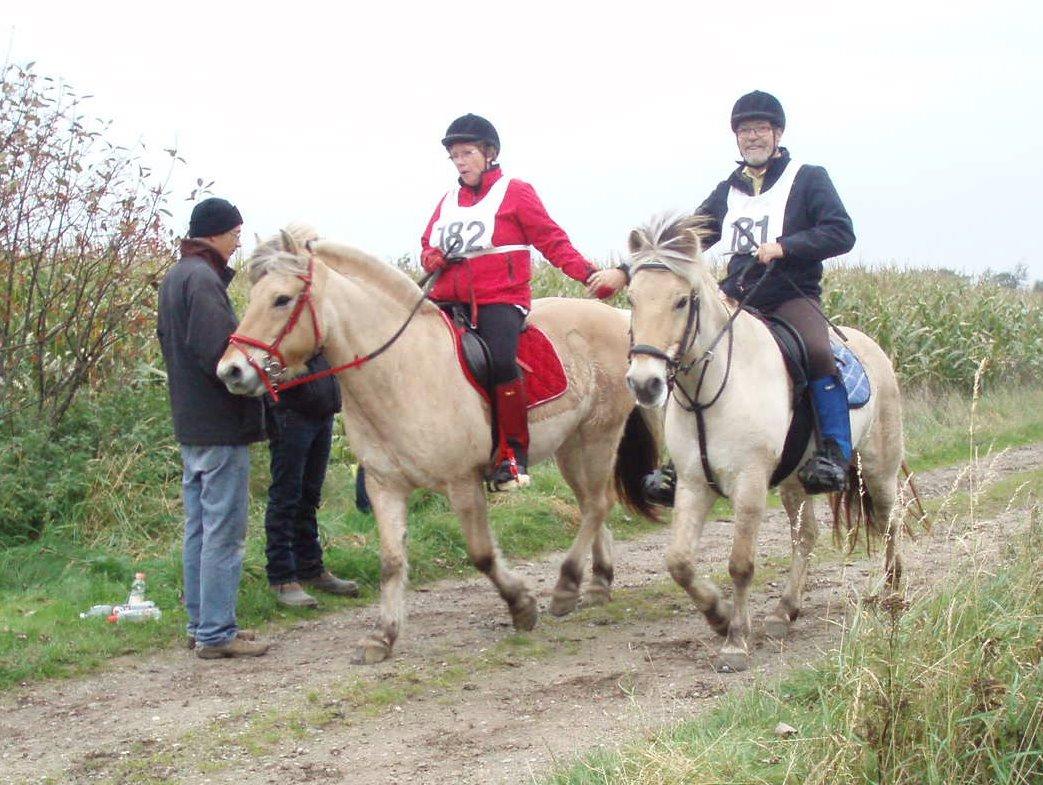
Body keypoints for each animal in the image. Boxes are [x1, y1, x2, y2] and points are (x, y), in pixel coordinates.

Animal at [215, 231, 655, 663]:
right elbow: (391, 562)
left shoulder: (462, 483)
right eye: (253, 296)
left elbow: (481, 554)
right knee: (591, 505)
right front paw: (383, 636)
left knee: (597, 504)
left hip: (599, 435)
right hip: (572, 445)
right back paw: (597, 583)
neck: (401, 369)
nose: (230, 371)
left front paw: (521, 605)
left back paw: (566, 586)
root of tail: (618, 317)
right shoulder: (385, 486)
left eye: (281, 299)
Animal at [617, 215, 905, 675]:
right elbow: (678, 562)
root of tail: (873, 348)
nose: (645, 383)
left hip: (878, 468)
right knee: (806, 536)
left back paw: (893, 590)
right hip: (795, 481)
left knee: (890, 520)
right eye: (632, 298)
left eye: (681, 301)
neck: (710, 390)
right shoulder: (693, 484)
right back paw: (784, 611)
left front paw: (735, 640)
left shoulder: (749, 483)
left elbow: (741, 563)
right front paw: (718, 616)